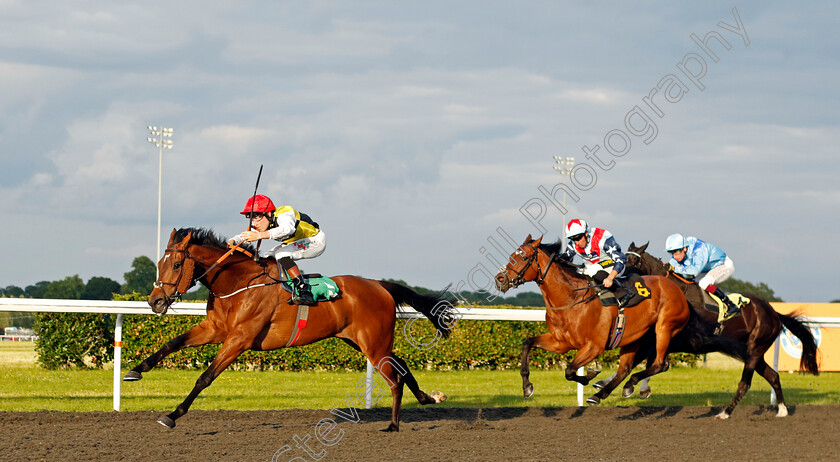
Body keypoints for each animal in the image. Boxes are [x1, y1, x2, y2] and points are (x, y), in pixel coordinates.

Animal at [124, 229, 452, 432]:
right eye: (160, 262)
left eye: (177, 265)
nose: (155, 301)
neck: (237, 282)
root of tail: (380, 285)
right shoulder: (214, 329)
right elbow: (172, 343)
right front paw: (136, 370)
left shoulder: (240, 338)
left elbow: (205, 377)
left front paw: (172, 416)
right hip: (365, 342)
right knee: (402, 364)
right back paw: (429, 398)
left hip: (373, 344)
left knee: (394, 379)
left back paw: (394, 425)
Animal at [492, 236, 688, 406]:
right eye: (511, 257)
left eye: (524, 257)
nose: (500, 279)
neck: (572, 299)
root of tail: (675, 287)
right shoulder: (560, 343)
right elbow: (528, 343)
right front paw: (527, 387)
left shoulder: (594, 346)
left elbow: (570, 370)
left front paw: (590, 374)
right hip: (634, 337)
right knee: (625, 369)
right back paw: (604, 393)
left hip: (664, 329)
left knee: (660, 364)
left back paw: (625, 385)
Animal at [616, 242, 820, 418]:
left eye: (630, 261)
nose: (615, 279)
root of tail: (775, 313)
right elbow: (645, 360)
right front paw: (635, 387)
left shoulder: (681, 339)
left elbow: (653, 361)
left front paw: (633, 386)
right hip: (752, 352)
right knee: (773, 375)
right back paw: (782, 410)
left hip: (755, 349)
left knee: (745, 384)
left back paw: (725, 413)